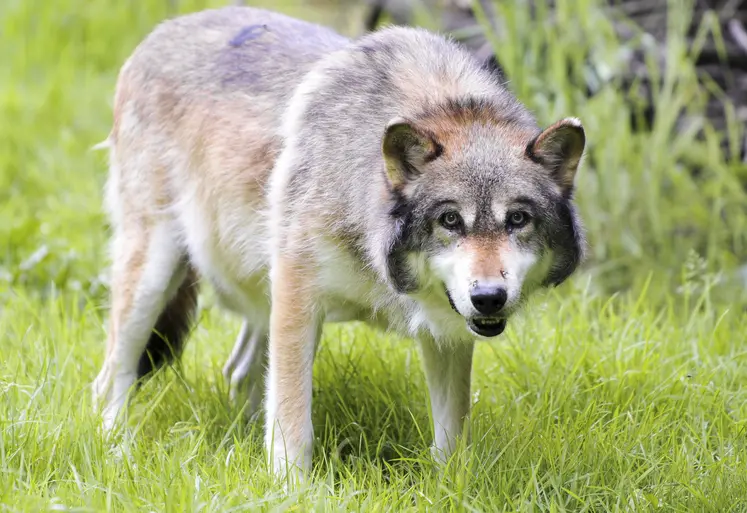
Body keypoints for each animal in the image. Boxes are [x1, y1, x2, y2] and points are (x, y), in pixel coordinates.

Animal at [92, 7, 584, 480]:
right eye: (450, 220)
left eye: (517, 219)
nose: (489, 298)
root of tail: (162, 30)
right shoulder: (298, 295)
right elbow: (294, 426)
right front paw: (290, 491)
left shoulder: (446, 330)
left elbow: (451, 439)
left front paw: (450, 490)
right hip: (155, 277)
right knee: (110, 377)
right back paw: (117, 451)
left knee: (238, 372)